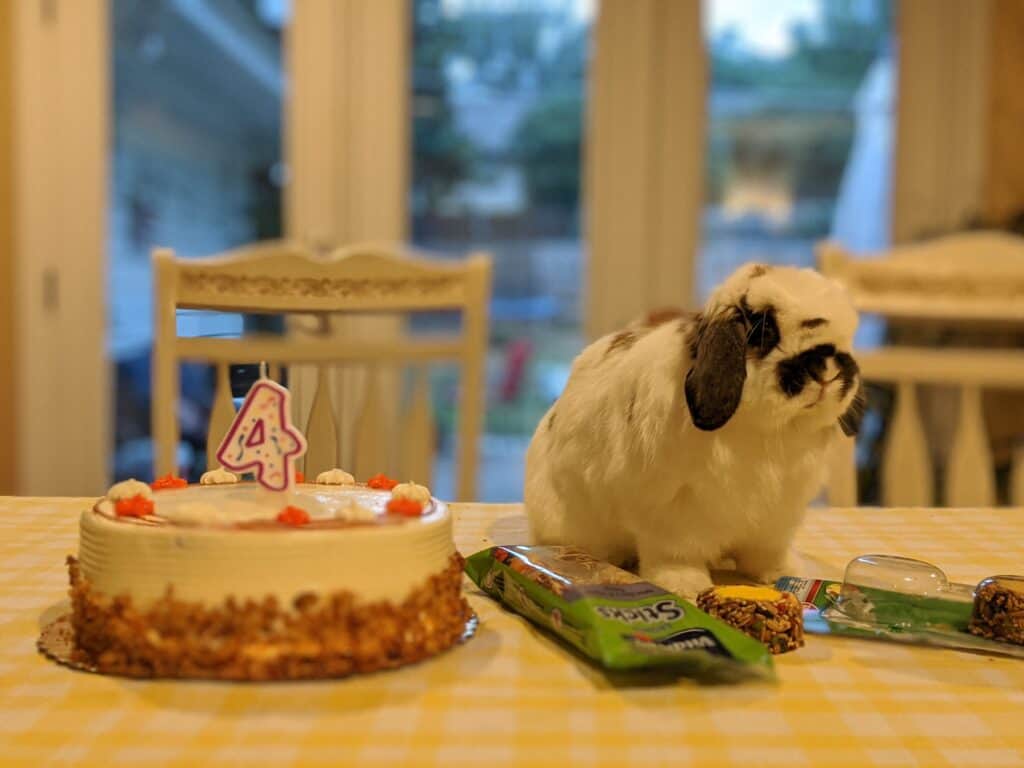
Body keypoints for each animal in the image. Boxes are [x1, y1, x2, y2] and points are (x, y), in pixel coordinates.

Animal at [524, 264, 860, 593]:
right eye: (765, 331)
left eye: (845, 338)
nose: (827, 368)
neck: (767, 430)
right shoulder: (671, 515)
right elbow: (676, 556)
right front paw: (685, 585)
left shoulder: (774, 521)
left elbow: (767, 554)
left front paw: (783, 573)